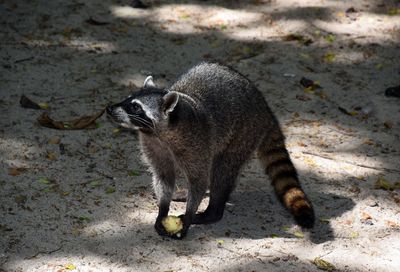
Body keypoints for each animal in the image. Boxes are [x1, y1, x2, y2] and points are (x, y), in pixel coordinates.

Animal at [107, 62, 316, 239]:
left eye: (135, 107)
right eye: (127, 99)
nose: (109, 109)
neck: (158, 133)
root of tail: (265, 109)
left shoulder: (196, 143)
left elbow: (199, 180)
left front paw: (189, 216)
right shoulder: (153, 146)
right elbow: (163, 176)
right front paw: (163, 209)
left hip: (243, 133)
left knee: (222, 171)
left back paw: (211, 212)